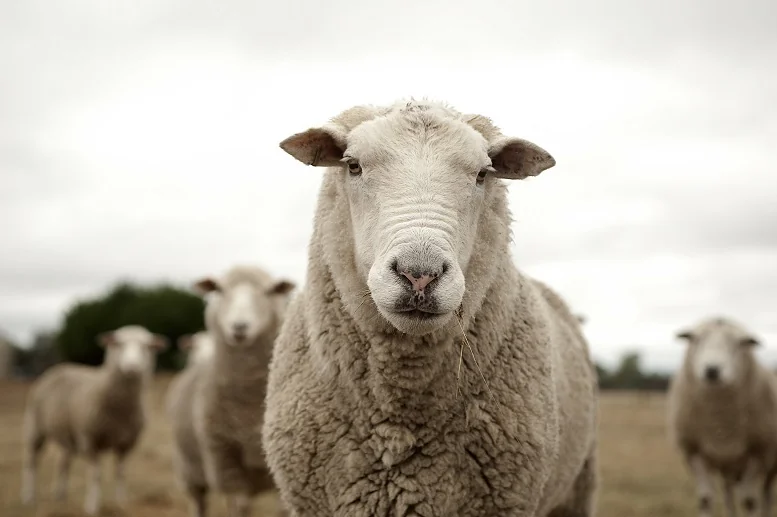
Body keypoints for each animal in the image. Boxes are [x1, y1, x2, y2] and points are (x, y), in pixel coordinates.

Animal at [20, 324, 167, 512]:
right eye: (117, 344)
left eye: (147, 346)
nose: (132, 367)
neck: (120, 411)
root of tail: (60, 367)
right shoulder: (90, 440)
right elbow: (95, 475)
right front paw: (92, 506)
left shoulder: (127, 443)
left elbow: (121, 473)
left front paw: (121, 503)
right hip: (35, 427)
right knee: (31, 462)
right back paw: (29, 497)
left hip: (67, 435)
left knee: (63, 462)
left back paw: (60, 495)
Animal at [186, 266, 296, 516]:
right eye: (219, 289)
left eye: (269, 291)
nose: (239, 327)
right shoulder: (224, 458)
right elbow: (240, 504)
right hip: (190, 471)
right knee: (200, 503)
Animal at [664, 314, 776, 516]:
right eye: (695, 339)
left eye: (740, 343)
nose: (712, 370)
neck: (720, 423)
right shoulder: (694, 453)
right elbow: (705, 499)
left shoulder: (758, 453)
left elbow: (749, 502)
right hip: (728, 467)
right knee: (729, 495)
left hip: (769, 465)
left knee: (766, 495)